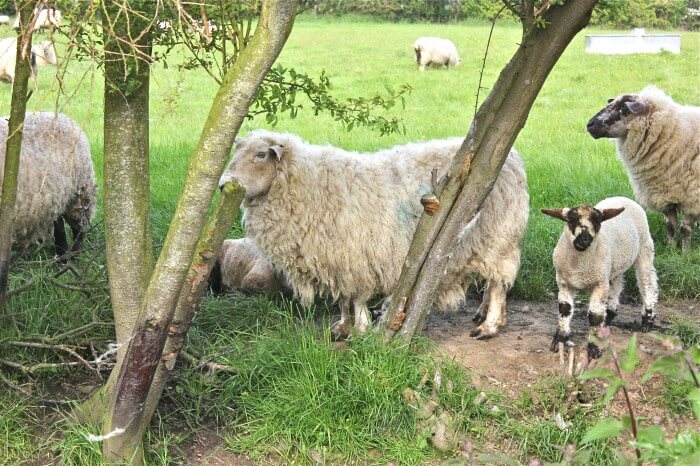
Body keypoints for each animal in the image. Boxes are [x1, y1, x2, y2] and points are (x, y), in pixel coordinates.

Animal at [0, 112, 97, 260]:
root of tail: (62, 116)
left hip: (79, 192)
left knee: (78, 227)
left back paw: (74, 256)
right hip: (56, 196)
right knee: (60, 227)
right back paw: (62, 257)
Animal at [219, 131, 529, 338]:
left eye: (260, 154)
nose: (223, 185)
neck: (311, 183)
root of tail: (512, 157)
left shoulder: (356, 255)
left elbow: (356, 297)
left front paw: (361, 327)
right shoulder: (338, 258)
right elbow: (344, 298)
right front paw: (342, 327)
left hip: (498, 233)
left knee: (498, 283)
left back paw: (489, 326)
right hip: (489, 240)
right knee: (494, 280)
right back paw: (485, 315)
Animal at [542, 196, 658, 360]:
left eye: (597, 220)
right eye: (571, 219)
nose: (584, 239)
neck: (579, 266)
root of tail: (622, 197)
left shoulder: (599, 284)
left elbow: (595, 316)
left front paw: (594, 348)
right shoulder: (564, 282)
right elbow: (565, 309)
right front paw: (560, 339)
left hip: (644, 248)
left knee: (647, 282)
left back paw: (647, 320)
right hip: (613, 266)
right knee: (617, 284)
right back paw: (609, 315)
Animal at [587, 86, 700, 251]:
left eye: (624, 109)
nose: (589, 125)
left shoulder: (692, 198)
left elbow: (685, 229)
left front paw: (685, 252)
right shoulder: (662, 195)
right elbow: (671, 226)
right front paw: (671, 249)